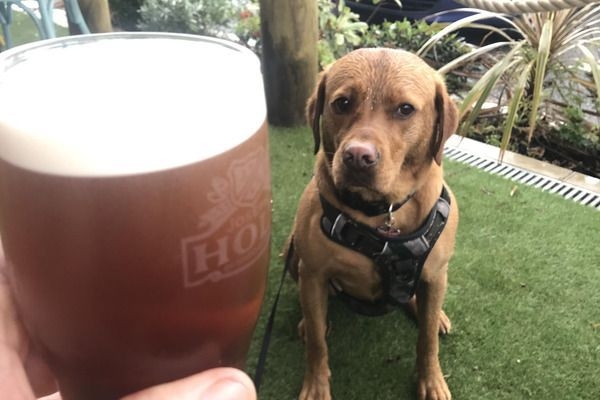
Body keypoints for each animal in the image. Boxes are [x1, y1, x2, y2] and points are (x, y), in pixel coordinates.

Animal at [286, 47, 460, 400]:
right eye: (342, 103)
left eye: (405, 109)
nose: (357, 157)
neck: (381, 212)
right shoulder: (313, 274)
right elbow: (317, 344)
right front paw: (316, 384)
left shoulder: (436, 272)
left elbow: (427, 342)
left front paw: (431, 380)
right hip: (293, 251)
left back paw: (432, 315)